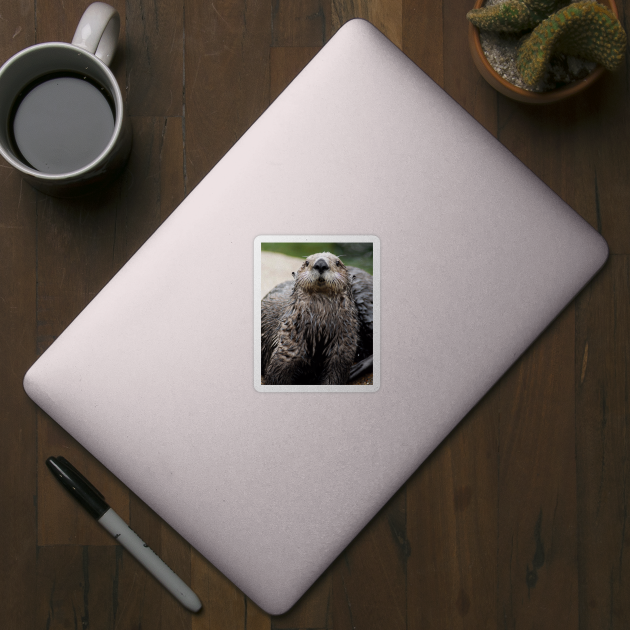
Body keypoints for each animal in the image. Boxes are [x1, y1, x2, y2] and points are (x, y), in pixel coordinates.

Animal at [262, 252, 376, 386]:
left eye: (337, 262)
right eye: (306, 262)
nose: (321, 264)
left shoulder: (342, 349)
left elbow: (335, 376)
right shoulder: (287, 348)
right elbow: (276, 376)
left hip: (366, 303)